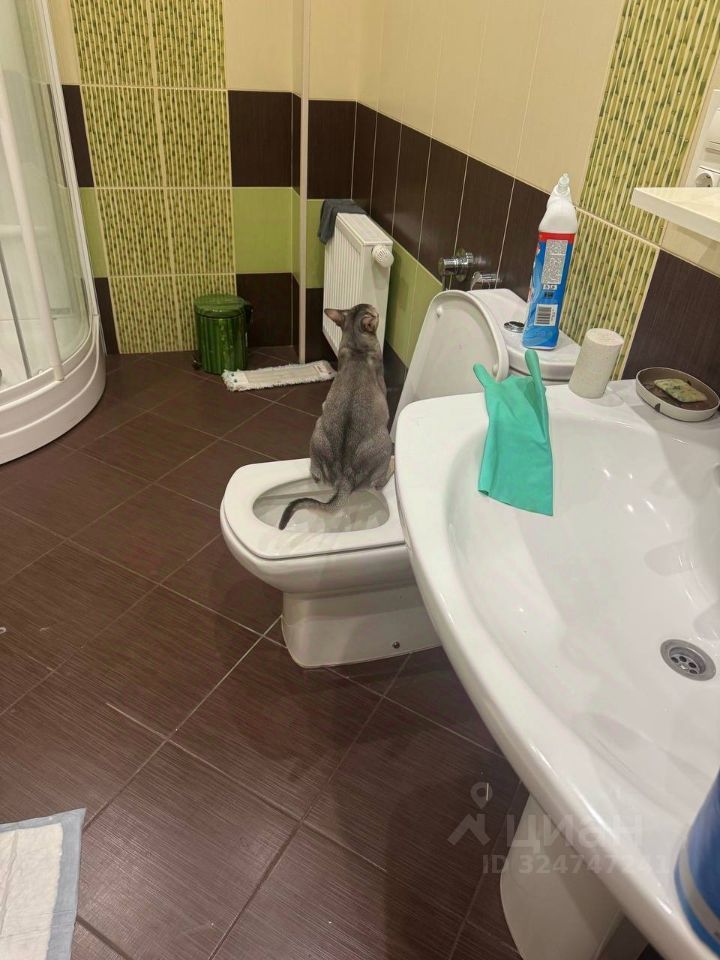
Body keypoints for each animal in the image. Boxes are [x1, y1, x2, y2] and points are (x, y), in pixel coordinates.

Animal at [279, 303, 393, 530]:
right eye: (373, 311)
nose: (376, 309)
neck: (357, 349)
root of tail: (344, 479)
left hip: (317, 429)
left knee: (315, 474)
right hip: (384, 442)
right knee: (377, 483)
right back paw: (392, 467)